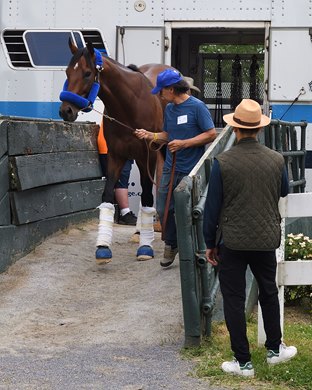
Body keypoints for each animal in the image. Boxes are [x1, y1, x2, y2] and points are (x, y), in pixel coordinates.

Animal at [58, 40, 171, 266]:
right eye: (67, 71)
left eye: (87, 73)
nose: (66, 110)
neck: (130, 106)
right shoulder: (116, 157)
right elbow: (108, 195)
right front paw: (103, 246)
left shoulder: (148, 156)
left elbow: (147, 195)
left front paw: (146, 247)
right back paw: (139, 231)